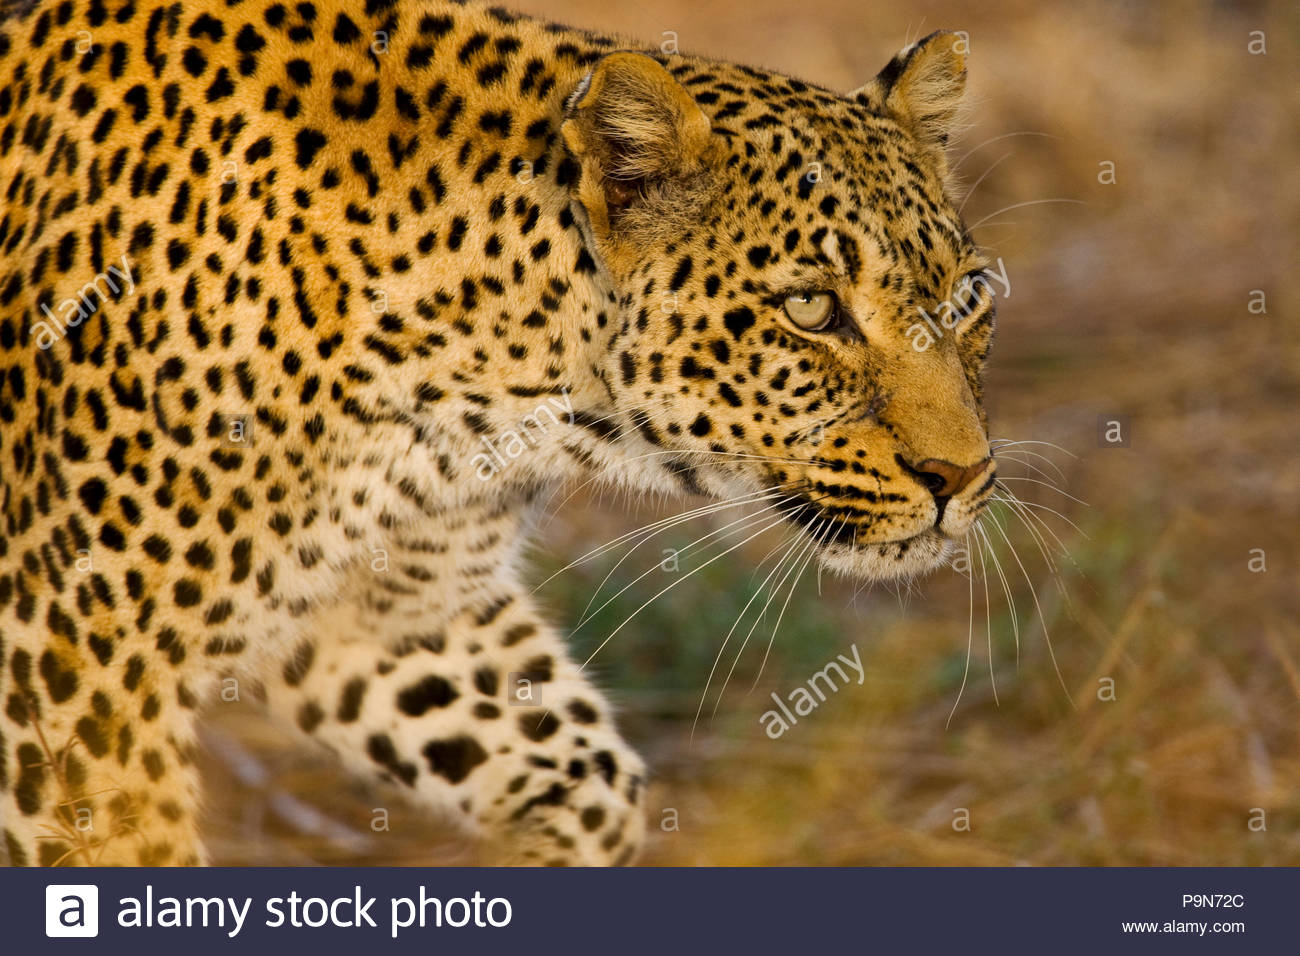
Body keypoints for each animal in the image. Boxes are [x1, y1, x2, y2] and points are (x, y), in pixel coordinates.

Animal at [0, 0, 998, 868]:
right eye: (811, 310)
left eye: (968, 298)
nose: (959, 476)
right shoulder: (78, 668)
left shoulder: (387, 612)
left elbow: (588, 779)